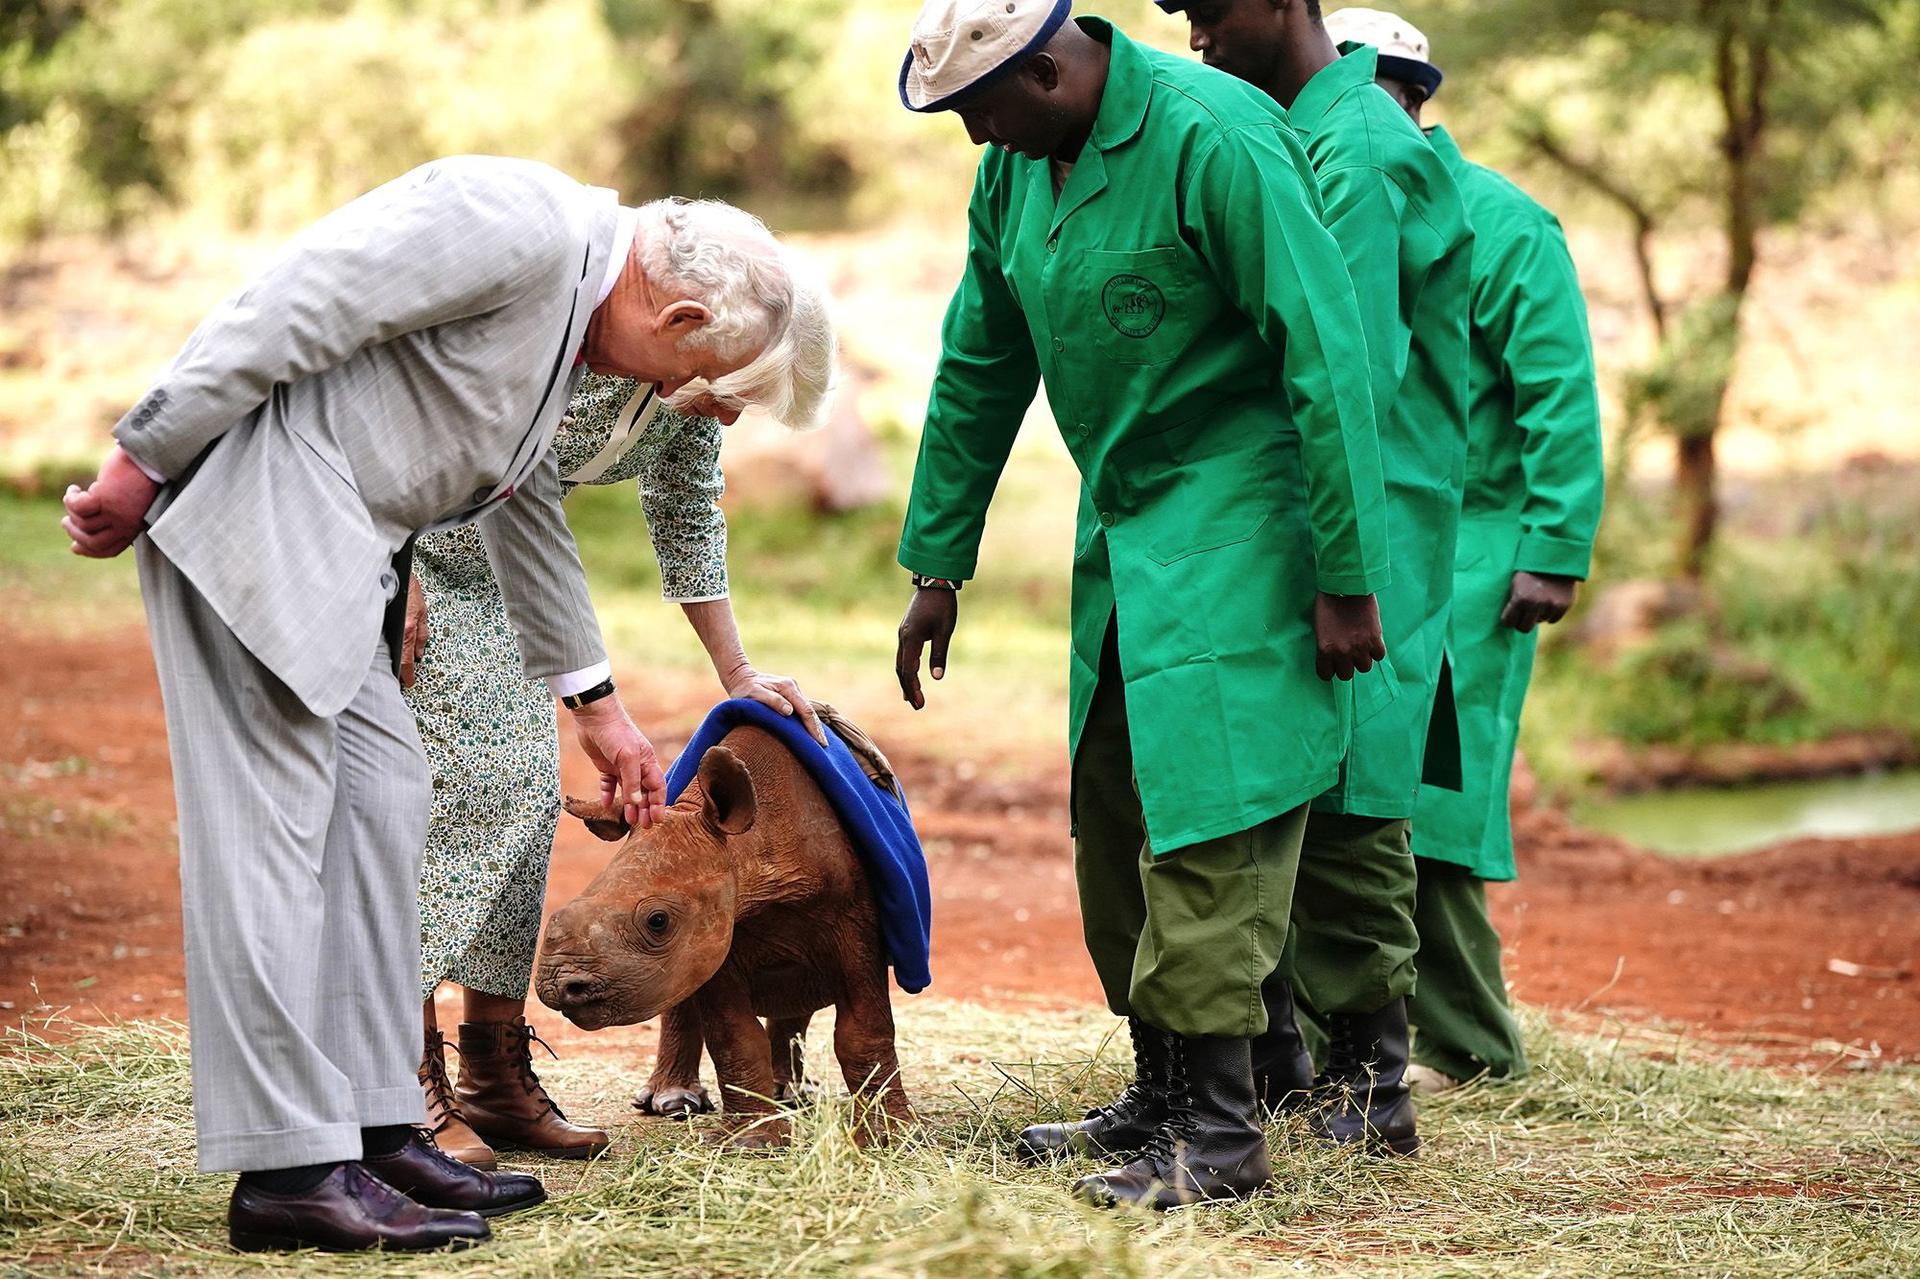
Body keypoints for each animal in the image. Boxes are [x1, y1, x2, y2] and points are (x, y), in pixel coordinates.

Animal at [529, 706, 910, 1144]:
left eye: (658, 922)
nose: (558, 987)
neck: (752, 846)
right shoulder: (714, 933)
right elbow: (734, 1037)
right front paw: (752, 1142)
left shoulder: (853, 918)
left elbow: (864, 1030)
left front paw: (890, 1137)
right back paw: (674, 1103)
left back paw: (791, 1095)